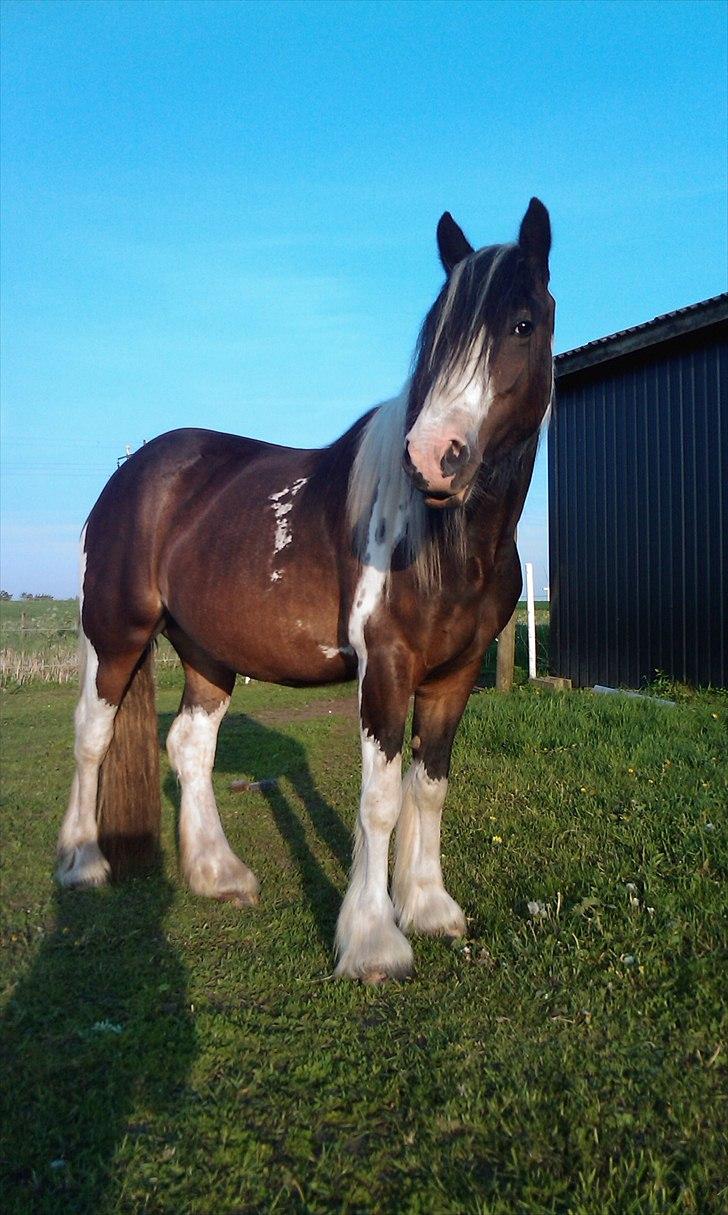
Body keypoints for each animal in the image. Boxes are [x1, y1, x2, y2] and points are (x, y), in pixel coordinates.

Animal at [57, 196, 556, 976]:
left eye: (523, 323)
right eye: (439, 334)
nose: (431, 458)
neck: (446, 540)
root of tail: (132, 470)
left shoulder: (455, 674)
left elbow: (430, 789)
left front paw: (430, 908)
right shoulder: (386, 667)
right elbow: (380, 801)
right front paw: (374, 941)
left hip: (207, 651)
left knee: (190, 747)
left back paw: (218, 874)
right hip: (114, 635)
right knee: (91, 736)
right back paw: (82, 863)